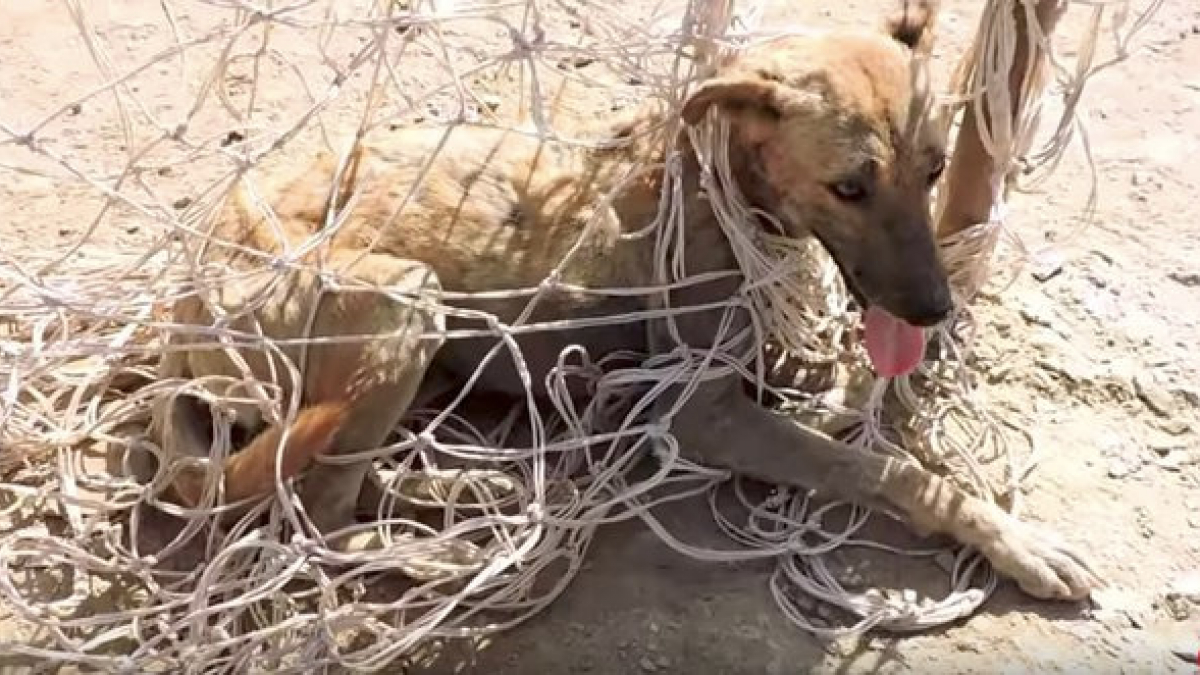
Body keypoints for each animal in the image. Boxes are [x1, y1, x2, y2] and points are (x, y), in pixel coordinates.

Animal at [145, 0, 1099, 598]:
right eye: (850, 187)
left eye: (934, 171)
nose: (938, 310)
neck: (721, 189)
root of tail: (180, 303)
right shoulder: (699, 415)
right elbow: (887, 465)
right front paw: (1011, 537)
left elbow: (834, 405)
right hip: (404, 306)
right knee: (312, 513)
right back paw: (433, 546)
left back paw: (459, 484)